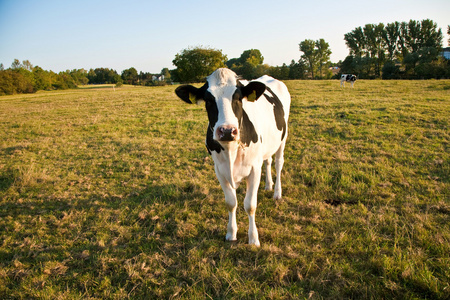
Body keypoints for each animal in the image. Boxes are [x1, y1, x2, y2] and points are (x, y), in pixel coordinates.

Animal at [174, 68, 290, 246]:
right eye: (208, 100)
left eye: (238, 97)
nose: (227, 130)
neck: (230, 151)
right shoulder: (220, 170)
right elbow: (231, 203)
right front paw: (231, 233)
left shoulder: (254, 169)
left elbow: (250, 205)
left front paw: (253, 238)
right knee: (268, 161)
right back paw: (268, 185)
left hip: (283, 138)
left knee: (278, 163)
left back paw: (277, 192)